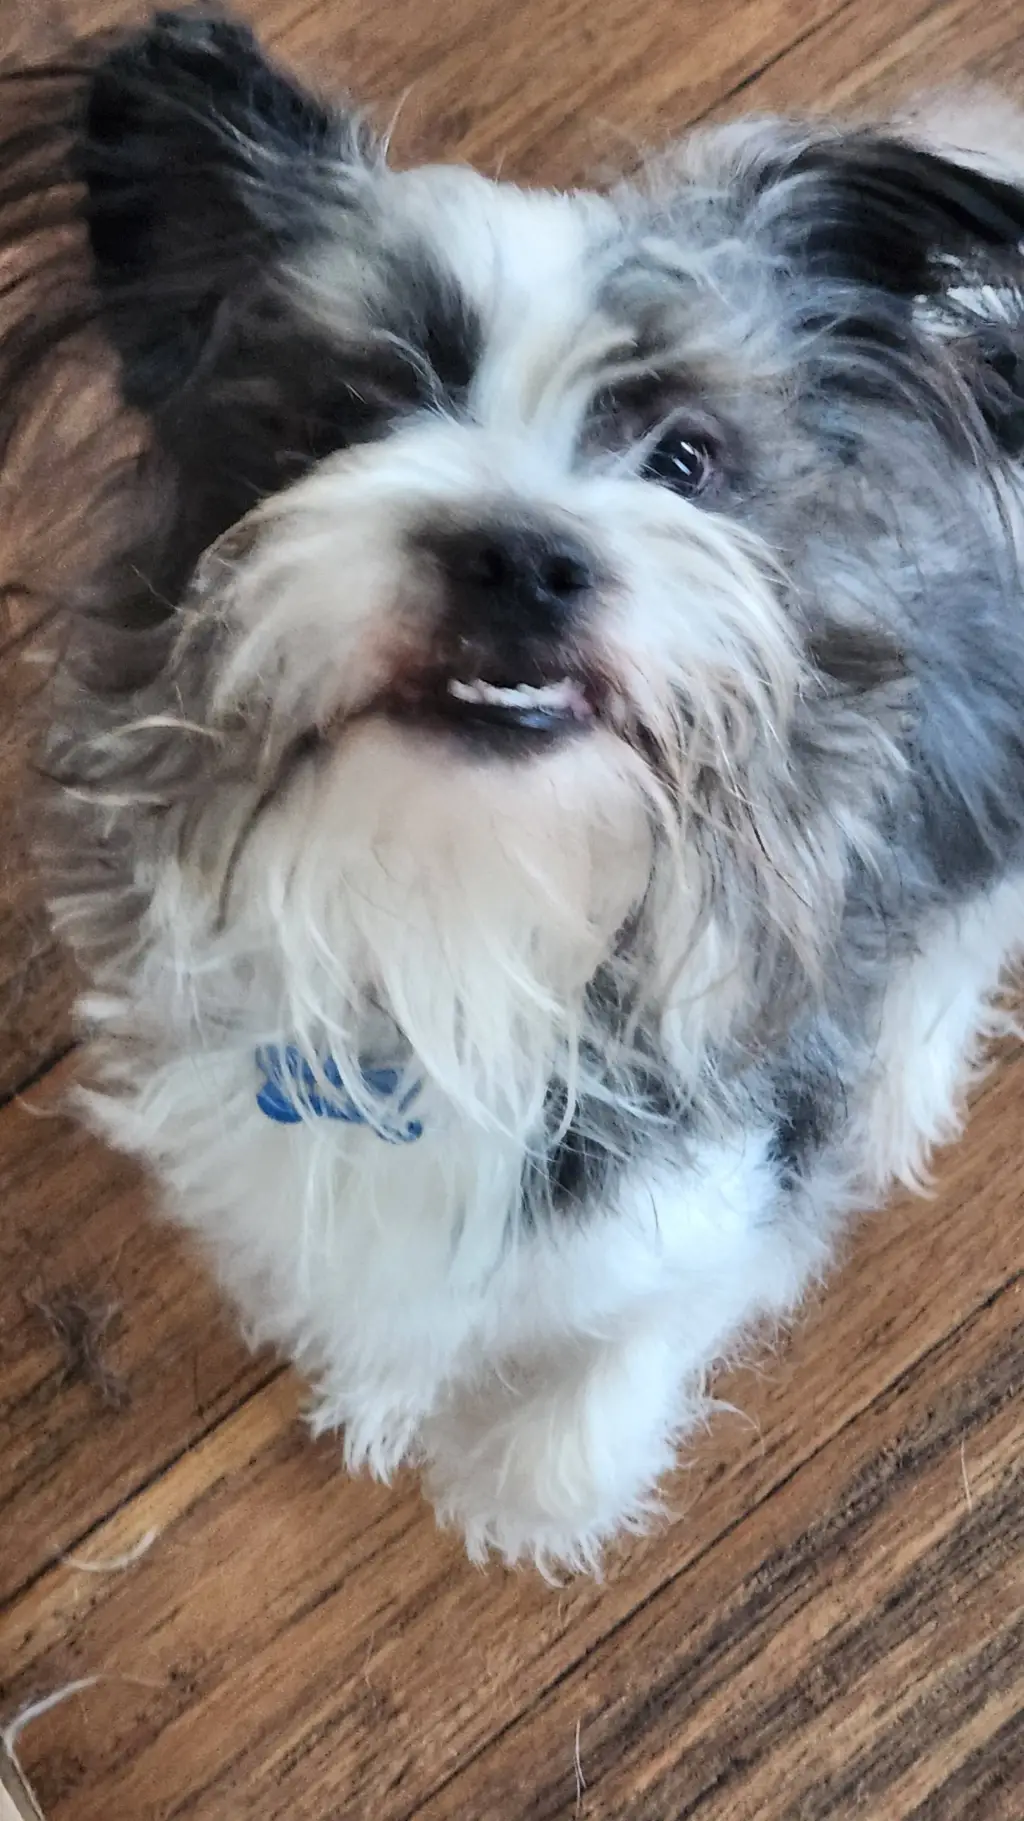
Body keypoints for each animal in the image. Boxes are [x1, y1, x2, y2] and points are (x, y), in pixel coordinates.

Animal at [2, 10, 1023, 1572]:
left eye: (684, 456)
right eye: (352, 413)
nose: (522, 557)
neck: (471, 886)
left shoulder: (723, 1169)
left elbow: (642, 1326)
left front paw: (528, 1492)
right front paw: (380, 1375)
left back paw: (903, 1083)